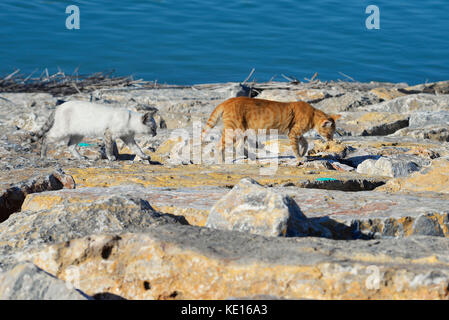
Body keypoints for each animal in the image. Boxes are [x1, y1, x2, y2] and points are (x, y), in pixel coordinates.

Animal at [202, 95, 340, 160]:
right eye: (330, 134)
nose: (331, 140)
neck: (312, 114)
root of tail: (226, 101)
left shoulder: (296, 133)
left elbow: (305, 143)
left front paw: (303, 152)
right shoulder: (293, 133)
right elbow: (295, 147)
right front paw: (299, 158)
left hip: (244, 132)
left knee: (239, 147)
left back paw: (252, 157)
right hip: (235, 131)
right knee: (219, 146)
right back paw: (222, 162)